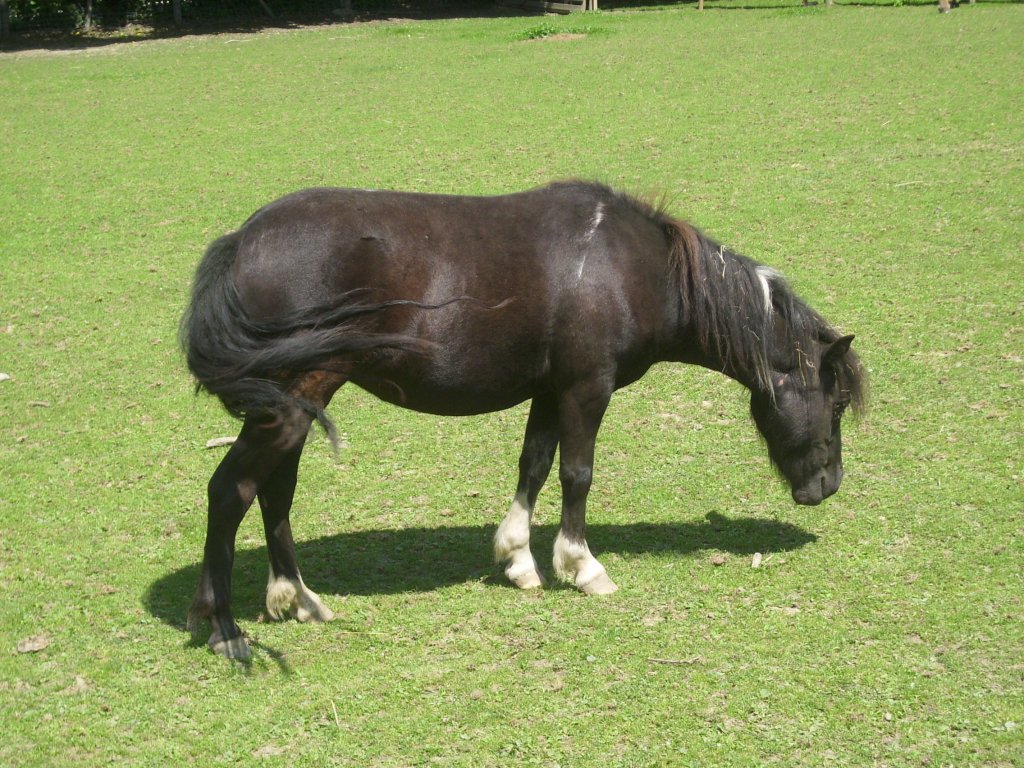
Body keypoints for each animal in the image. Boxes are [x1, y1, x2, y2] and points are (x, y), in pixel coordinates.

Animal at [182, 182, 864, 663]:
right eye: (834, 405)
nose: (826, 486)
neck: (635, 267)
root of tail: (242, 241)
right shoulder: (587, 389)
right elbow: (577, 474)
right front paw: (581, 566)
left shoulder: (550, 391)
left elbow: (533, 465)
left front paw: (518, 559)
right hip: (293, 400)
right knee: (232, 490)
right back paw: (222, 626)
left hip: (297, 405)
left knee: (274, 493)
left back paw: (296, 598)